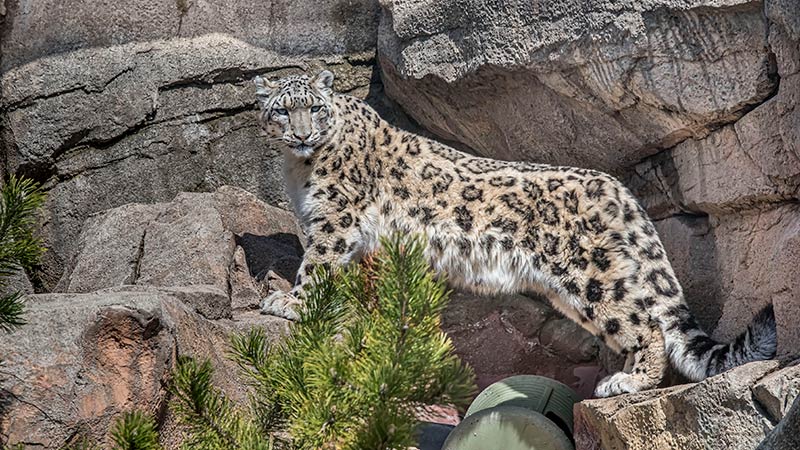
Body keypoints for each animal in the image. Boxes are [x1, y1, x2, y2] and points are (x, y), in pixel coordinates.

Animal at [253, 70, 777, 397]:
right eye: (281, 111)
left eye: (313, 108)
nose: (301, 135)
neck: (299, 168)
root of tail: (613, 185)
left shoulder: (335, 217)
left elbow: (317, 260)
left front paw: (290, 302)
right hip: (575, 289)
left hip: (590, 275)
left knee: (645, 323)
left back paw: (628, 382)